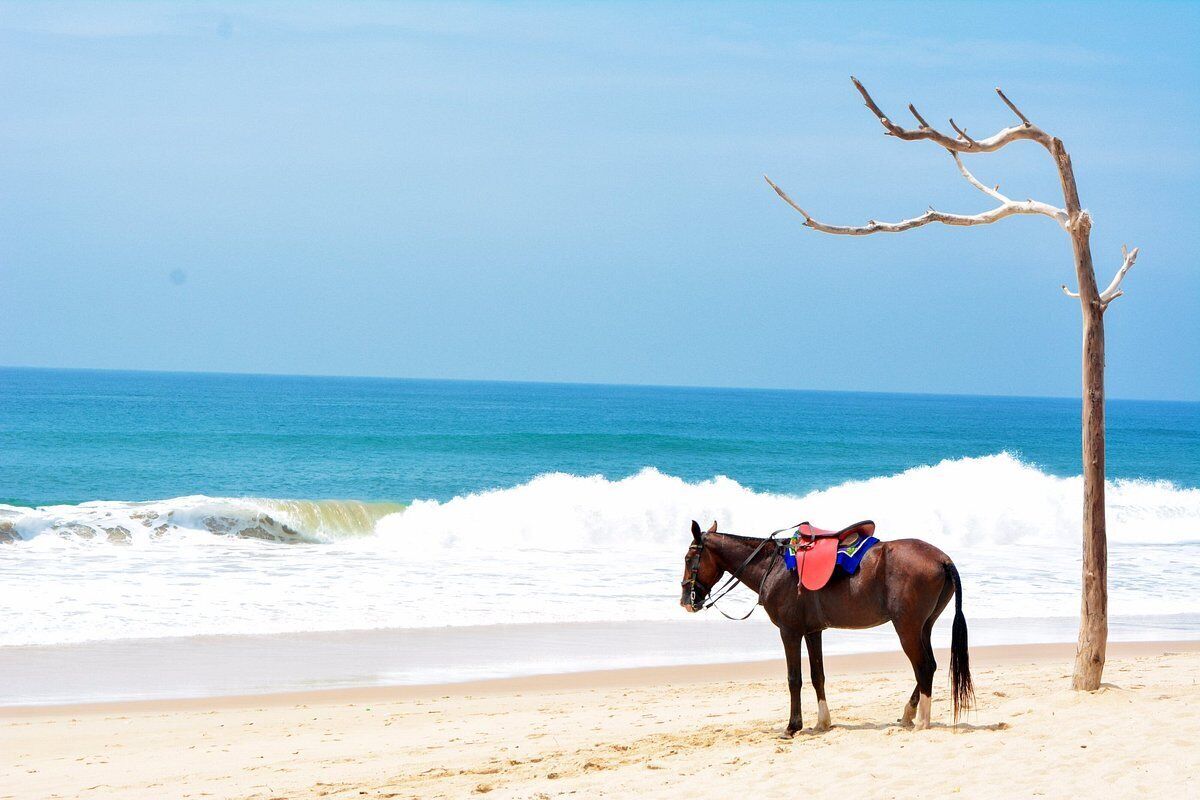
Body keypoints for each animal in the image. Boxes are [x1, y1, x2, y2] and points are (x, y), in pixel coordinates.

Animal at [680, 520, 973, 736]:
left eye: (688, 558)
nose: (686, 601)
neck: (773, 567)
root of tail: (942, 558)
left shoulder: (789, 632)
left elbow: (794, 679)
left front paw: (792, 727)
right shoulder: (812, 632)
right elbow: (817, 675)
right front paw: (823, 722)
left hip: (907, 628)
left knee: (923, 666)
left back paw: (922, 720)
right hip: (924, 627)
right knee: (930, 665)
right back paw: (909, 714)